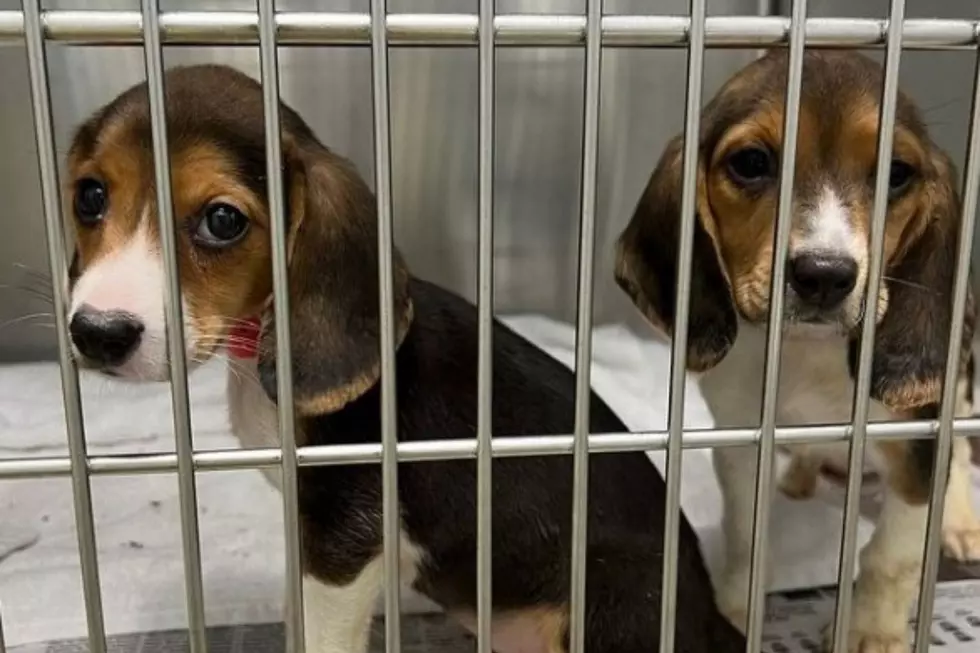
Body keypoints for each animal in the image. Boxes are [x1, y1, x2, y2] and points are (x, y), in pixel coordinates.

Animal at [65, 62, 748, 652]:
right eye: (90, 196)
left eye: (223, 220)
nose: (96, 332)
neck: (257, 339)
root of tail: (709, 618)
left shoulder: (345, 542)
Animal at [616, 51, 976, 652]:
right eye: (751, 162)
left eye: (896, 173)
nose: (824, 275)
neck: (810, 352)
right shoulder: (742, 443)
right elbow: (746, 539)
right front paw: (733, 611)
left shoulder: (914, 446)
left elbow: (891, 557)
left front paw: (872, 631)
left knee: (965, 452)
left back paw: (961, 521)